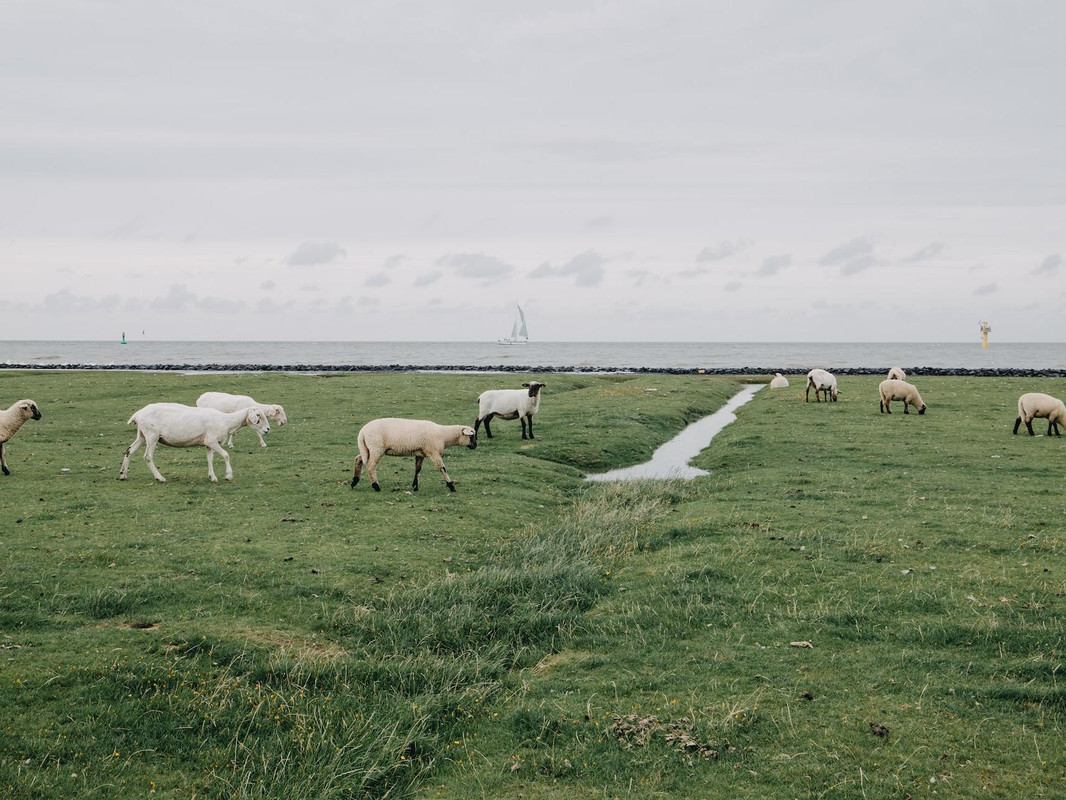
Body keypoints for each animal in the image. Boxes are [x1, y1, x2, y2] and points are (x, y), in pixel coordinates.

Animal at [119, 403, 270, 486]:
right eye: (258, 416)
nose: (268, 429)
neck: (227, 421)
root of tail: (137, 415)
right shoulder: (212, 441)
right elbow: (226, 455)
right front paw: (228, 475)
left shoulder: (208, 443)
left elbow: (210, 459)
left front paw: (212, 477)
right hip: (152, 435)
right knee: (148, 457)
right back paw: (160, 478)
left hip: (142, 435)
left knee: (129, 451)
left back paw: (123, 474)